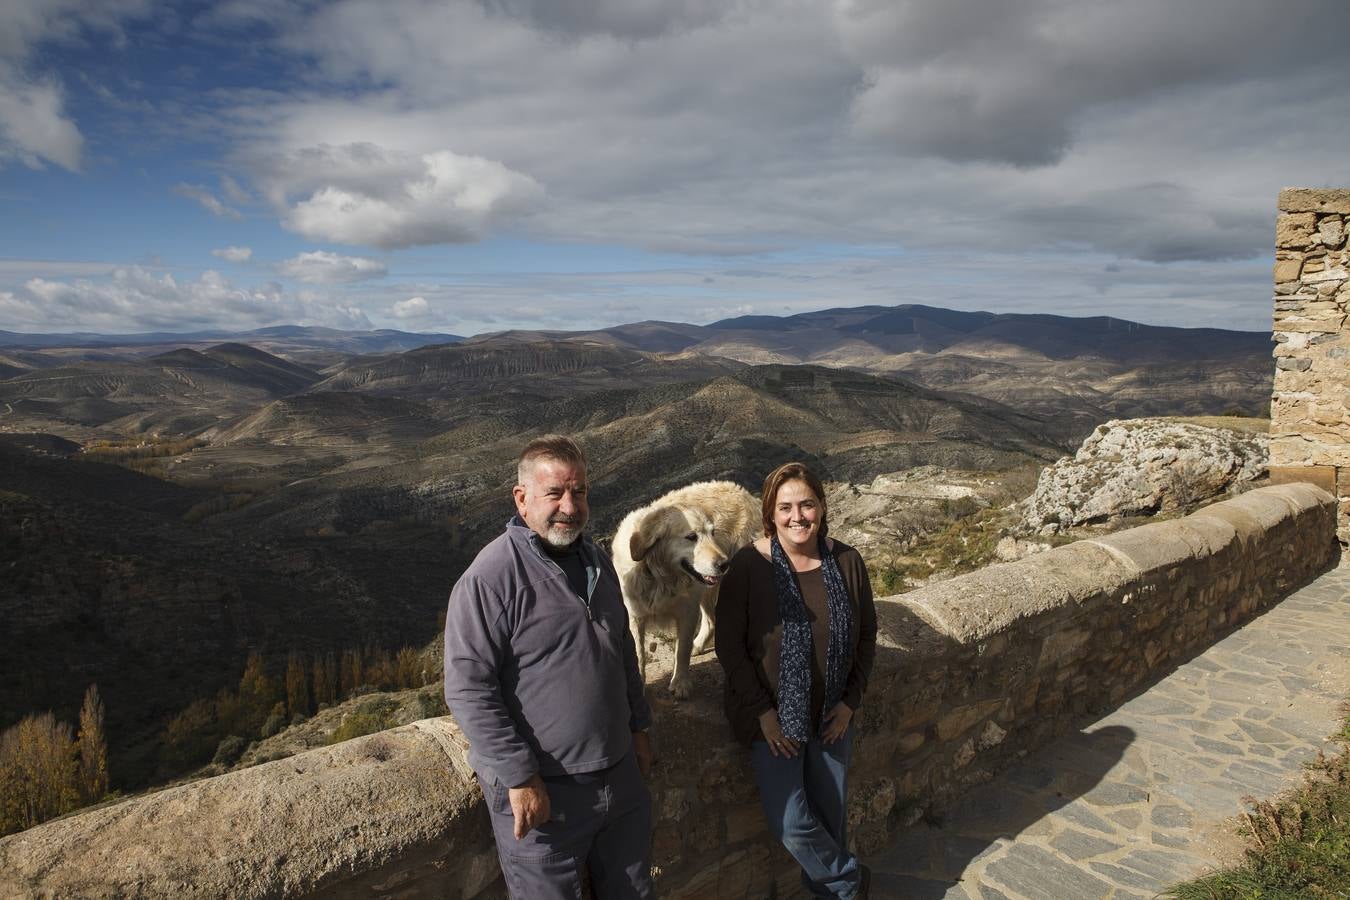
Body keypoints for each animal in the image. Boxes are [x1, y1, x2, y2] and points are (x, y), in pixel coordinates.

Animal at [612, 483, 761, 701]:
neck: (661, 578)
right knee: (711, 620)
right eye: (691, 537)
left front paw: (680, 683)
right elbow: (638, 653)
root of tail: (747, 494)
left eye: (713, 533)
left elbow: (681, 649)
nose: (724, 564)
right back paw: (698, 644)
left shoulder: (687, 611)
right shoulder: (633, 615)